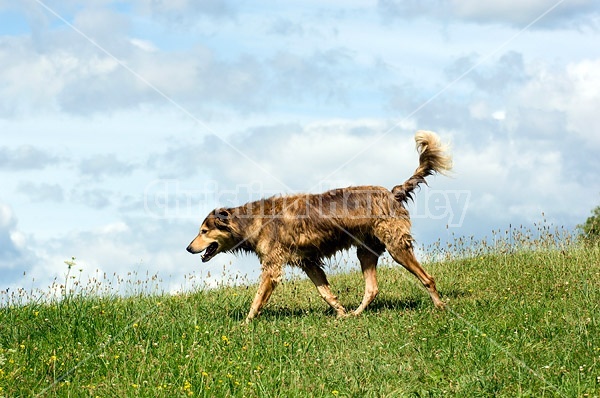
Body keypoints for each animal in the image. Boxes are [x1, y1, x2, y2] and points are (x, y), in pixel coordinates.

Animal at [186, 131, 450, 324]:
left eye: (203, 231)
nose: (188, 248)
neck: (251, 221)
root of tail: (392, 193)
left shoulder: (272, 267)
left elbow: (258, 298)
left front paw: (245, 323)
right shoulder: (309, 262)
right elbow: (326, 293)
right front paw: (341, 313)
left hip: (396, 247)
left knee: (428, 278)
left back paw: (440, 306)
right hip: (365, 251)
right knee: (372, 289)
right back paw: (355, 314)